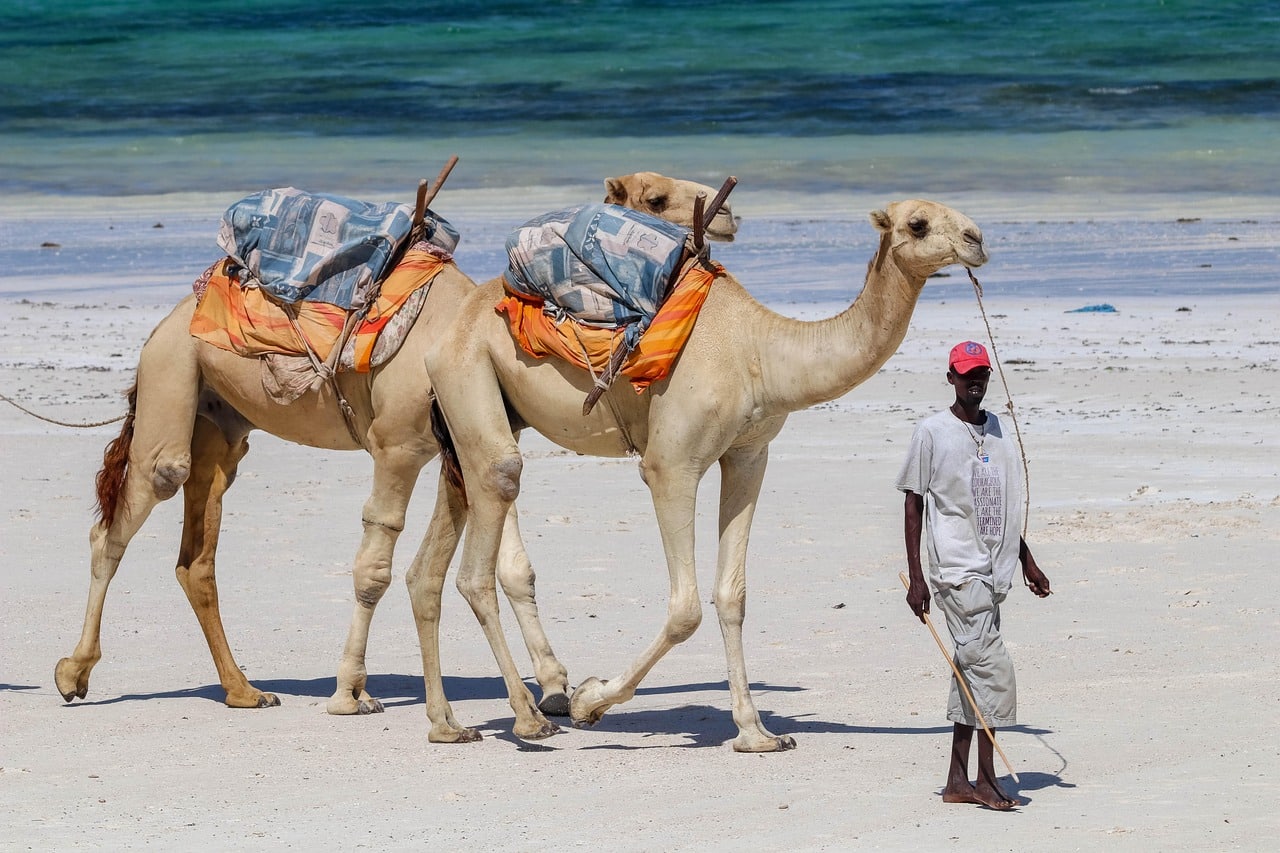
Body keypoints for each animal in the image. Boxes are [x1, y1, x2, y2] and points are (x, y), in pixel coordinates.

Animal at [54, 173, 737, 720]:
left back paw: (244, 691)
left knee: (196, 557)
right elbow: (375, 566)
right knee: (120, 518)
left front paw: (555, 688)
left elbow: (505, 563)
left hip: (221, 427)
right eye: (656, 197)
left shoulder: (465, 443)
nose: (729, 214)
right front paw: (350, 691)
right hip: (173, 384)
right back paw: (73, 673)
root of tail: (170, 319)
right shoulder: (398, 447)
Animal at [419, 199, 987, 749]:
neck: (759, 350)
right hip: (467, 368)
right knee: (488, 521)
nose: (977, 238)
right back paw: (529, 719)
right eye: (918, 223)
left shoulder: (749, 455)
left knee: (456, 527)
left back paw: (450, 722)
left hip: (483, 409)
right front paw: (589, 700)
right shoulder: (671, 464)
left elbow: (731, 596)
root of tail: (455, 323)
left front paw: (756, 734)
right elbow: (686, 608)